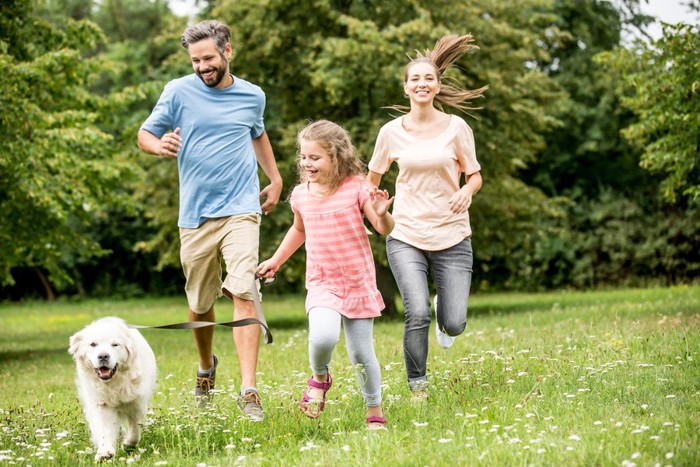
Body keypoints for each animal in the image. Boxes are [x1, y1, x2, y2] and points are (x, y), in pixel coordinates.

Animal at [67, 316, 156, 462]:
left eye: (115, 345)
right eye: (93, 344)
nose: (103, 356)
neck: (113, 383)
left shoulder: (137, 404)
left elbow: (135, 431)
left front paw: (128, 444)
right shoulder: (102, 404)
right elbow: (104, 430)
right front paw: (105, 452)